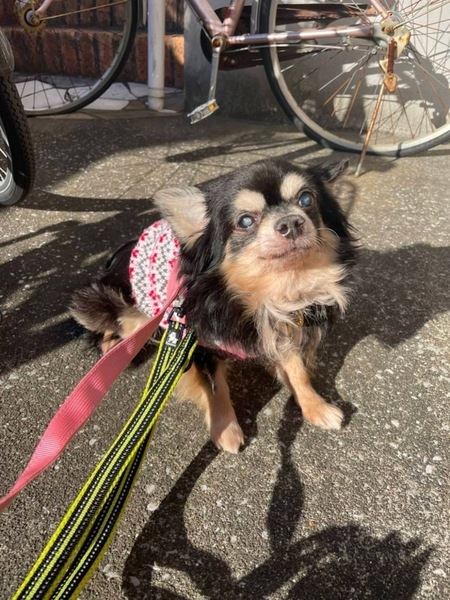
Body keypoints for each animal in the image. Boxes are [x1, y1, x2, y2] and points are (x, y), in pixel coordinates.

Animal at [71, 159, 358, 453]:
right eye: (245, 221)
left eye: (306, 199)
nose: (290, 222)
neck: (272, 293)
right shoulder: (197, 344)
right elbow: (216, 387)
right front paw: (225, 429)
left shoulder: (284, 330)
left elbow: (297, 371)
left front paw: (315, 406)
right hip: (120, 308)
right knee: (114, 323)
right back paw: (113, 346)